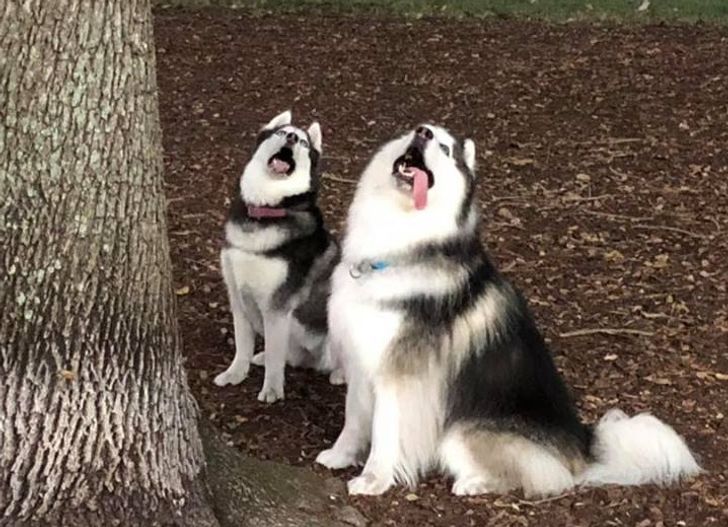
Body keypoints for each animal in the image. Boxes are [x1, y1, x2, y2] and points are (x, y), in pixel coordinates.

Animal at [213, 109, 342, 402]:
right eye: (282, 132)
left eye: (304, 143)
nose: (292, 138)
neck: (266, 211)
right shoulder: (237, 295)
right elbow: (243, 344)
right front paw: (236, 372)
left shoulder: (277, 308)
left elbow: (275, 354)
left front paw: (271, 389)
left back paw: (340, 374)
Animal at [316, 126, 704, 498]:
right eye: (417, 128)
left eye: (445, 147)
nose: (423, 133)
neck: (398, 250)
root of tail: (581, 444)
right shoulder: (359, 362)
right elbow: (354, 419)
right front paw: (340, 455)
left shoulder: (399, 378)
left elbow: (384, 435)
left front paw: (373, 480)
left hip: (460, 431)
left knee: (545, 478)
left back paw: (473, 483)